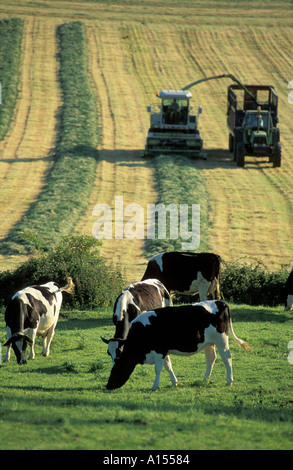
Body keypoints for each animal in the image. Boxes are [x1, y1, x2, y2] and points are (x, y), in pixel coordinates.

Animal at [105, 300, 251, 392]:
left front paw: (155, 386)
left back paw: (229, 380)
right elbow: (168, 366)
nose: (108, 386)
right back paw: (205, 380)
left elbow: (158, 369)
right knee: (211, 359)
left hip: (222, 340)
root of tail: (220, 302)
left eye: (115, 371)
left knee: (227, 358)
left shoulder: (158, 351)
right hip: (209, 343)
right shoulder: (163, 351)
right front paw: (174, 382)